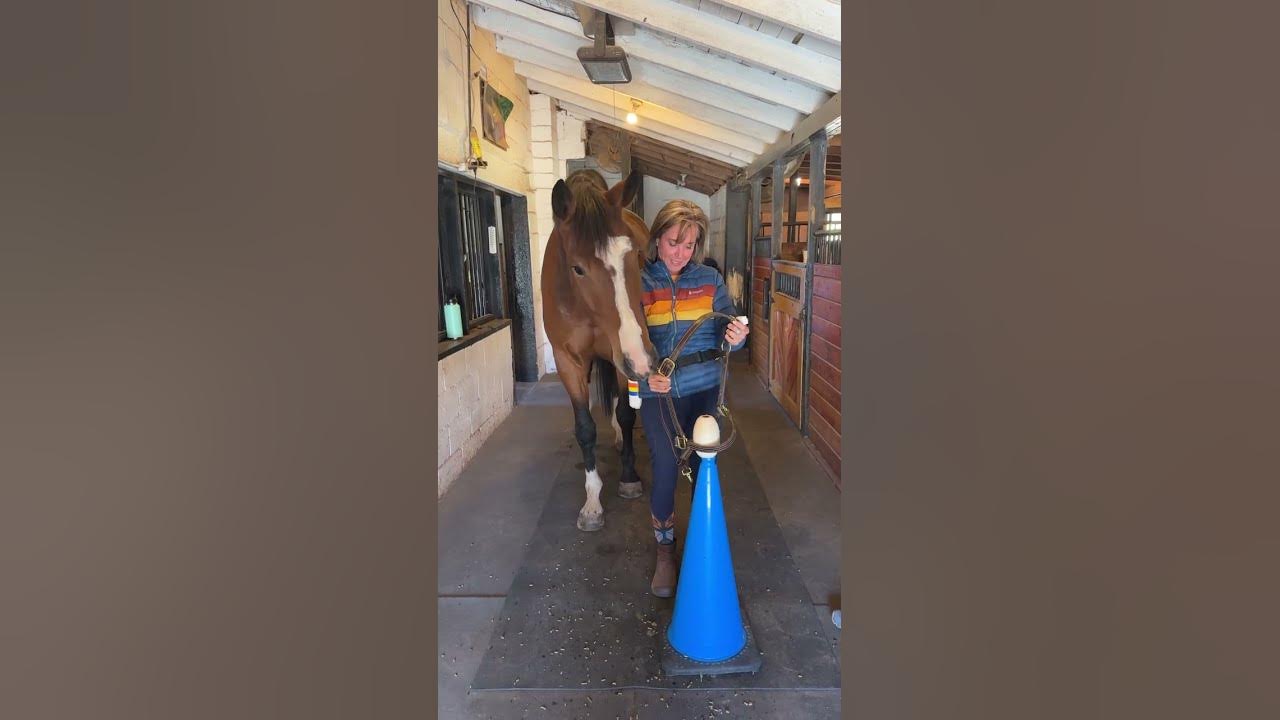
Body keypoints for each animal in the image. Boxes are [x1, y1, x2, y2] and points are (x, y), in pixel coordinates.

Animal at [541, 168, 658, 532]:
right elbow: (585, 428)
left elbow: (625, 412)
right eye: (578, 268)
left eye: (635, 255)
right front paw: (592, 501)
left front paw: (630, 478)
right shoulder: (569, 362)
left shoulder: (623, 359)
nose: (643, 359)